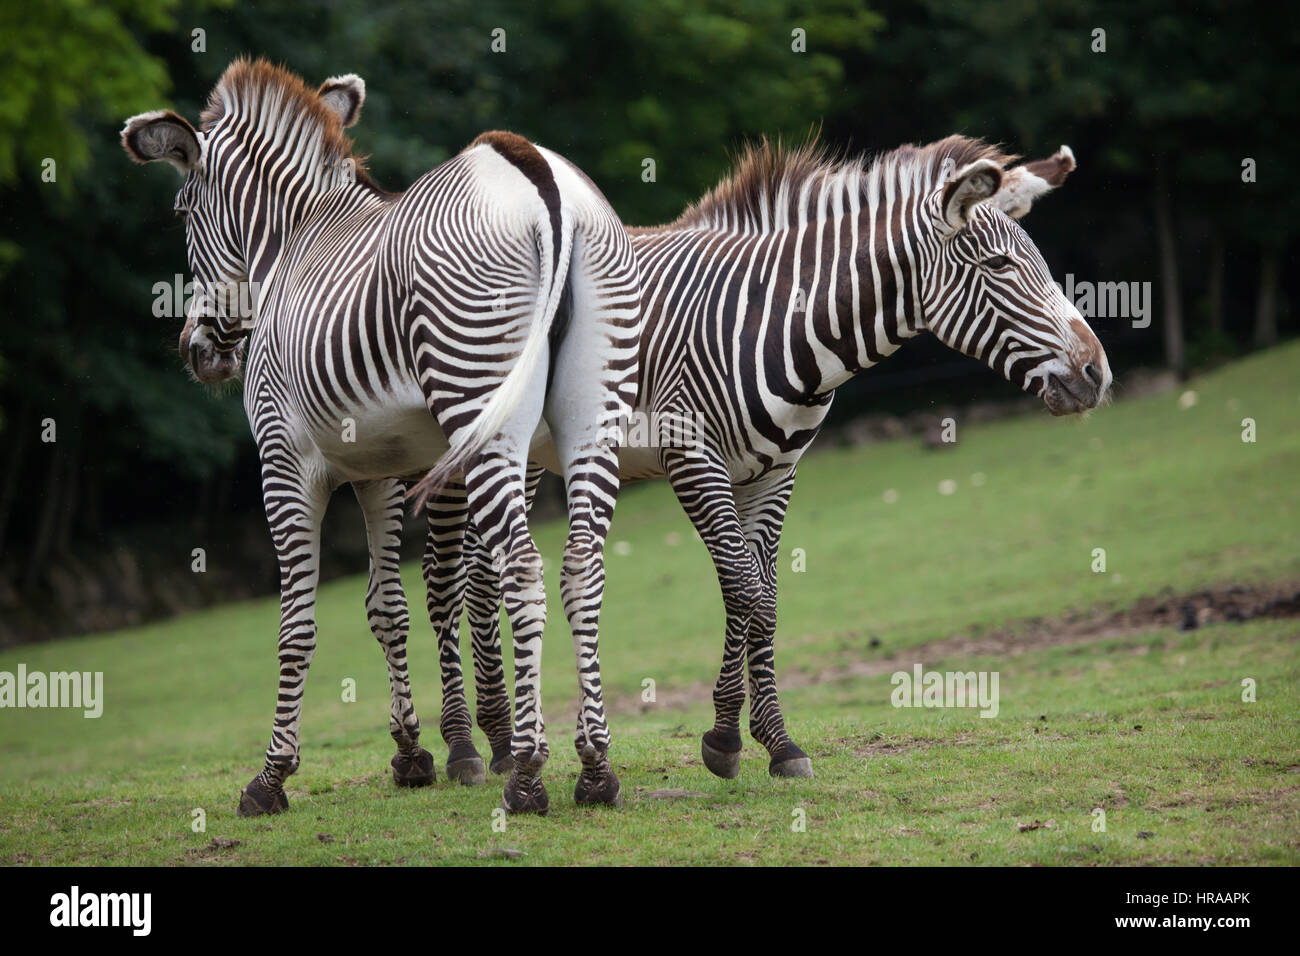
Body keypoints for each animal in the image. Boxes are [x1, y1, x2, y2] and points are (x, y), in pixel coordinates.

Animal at [124, 59, 642, 816]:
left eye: (181, 212)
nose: (199, 352)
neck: (291, 244)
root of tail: (534, 173)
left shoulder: (284, 460)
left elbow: (297, 624)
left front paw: (272, 777)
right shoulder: (379, 470)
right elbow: (387, 608)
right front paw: (412, 753)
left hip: (477, 399)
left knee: (521, 567)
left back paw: (526, 777)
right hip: (586, 416)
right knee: (581, 567)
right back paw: (594, 768)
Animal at [423, 138, 1107, 790]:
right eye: (1000, 266)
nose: (1097, 374)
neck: (779, 321)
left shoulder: (776, 470)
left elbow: (764, 597)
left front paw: (770, 742)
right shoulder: (693, 459)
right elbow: (744, 588)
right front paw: (729, 740)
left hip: (529, 454)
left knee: (483, 577)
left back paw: (502, 744)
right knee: (443, 580)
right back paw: (455, 750)